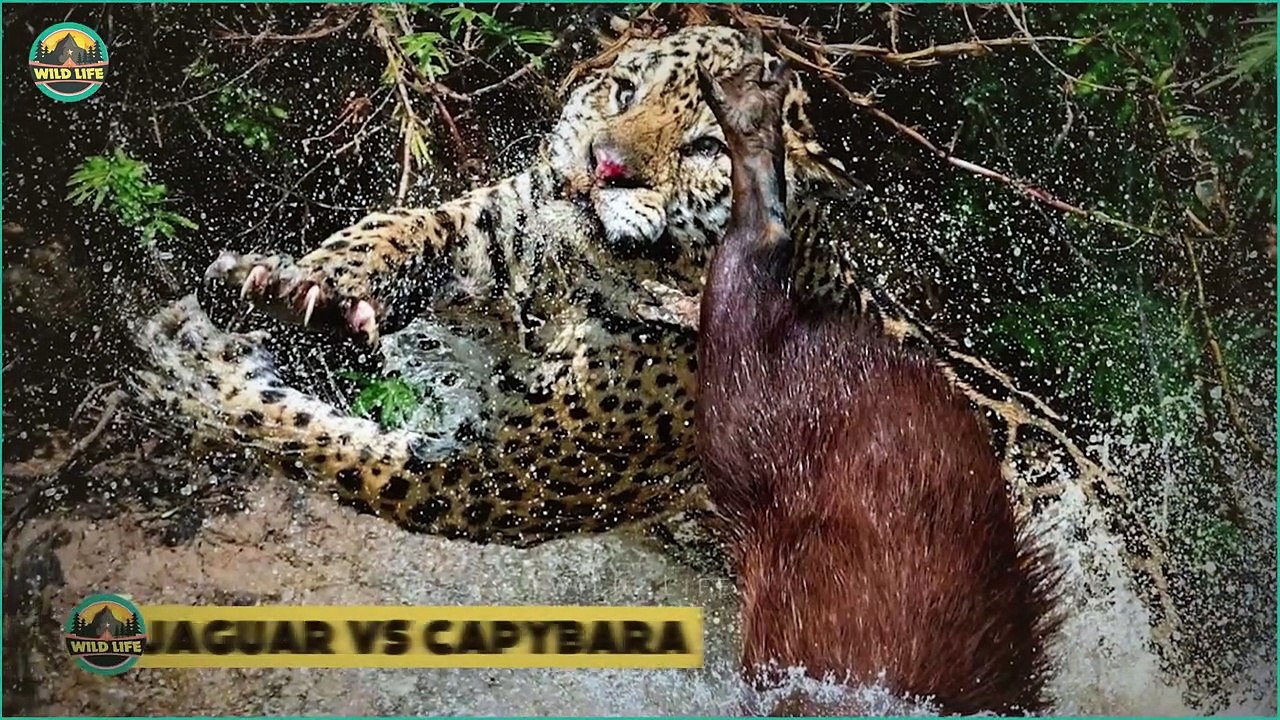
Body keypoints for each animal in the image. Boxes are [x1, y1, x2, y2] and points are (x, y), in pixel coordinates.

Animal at [134, 20, 1191, 695]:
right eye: (620, 90)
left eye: (700, 148)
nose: (599, 165)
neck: (581, 278)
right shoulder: (499, 228)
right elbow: (406, 227)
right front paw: (297, 280)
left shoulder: (509, 479)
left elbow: (332, 450)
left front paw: (191, 369)